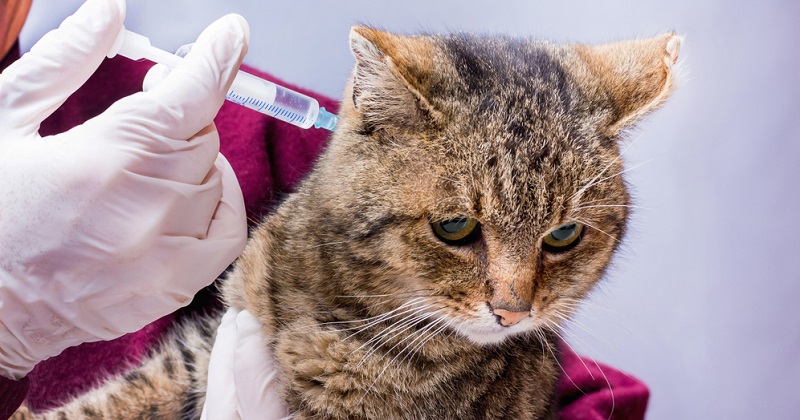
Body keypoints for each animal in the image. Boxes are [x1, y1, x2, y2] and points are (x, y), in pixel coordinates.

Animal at [15, 27, 680, 420]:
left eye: (563, 237)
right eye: (456, 228)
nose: (513, 312)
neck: (338, 301)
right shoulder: (209, 341)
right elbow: (116, 398)